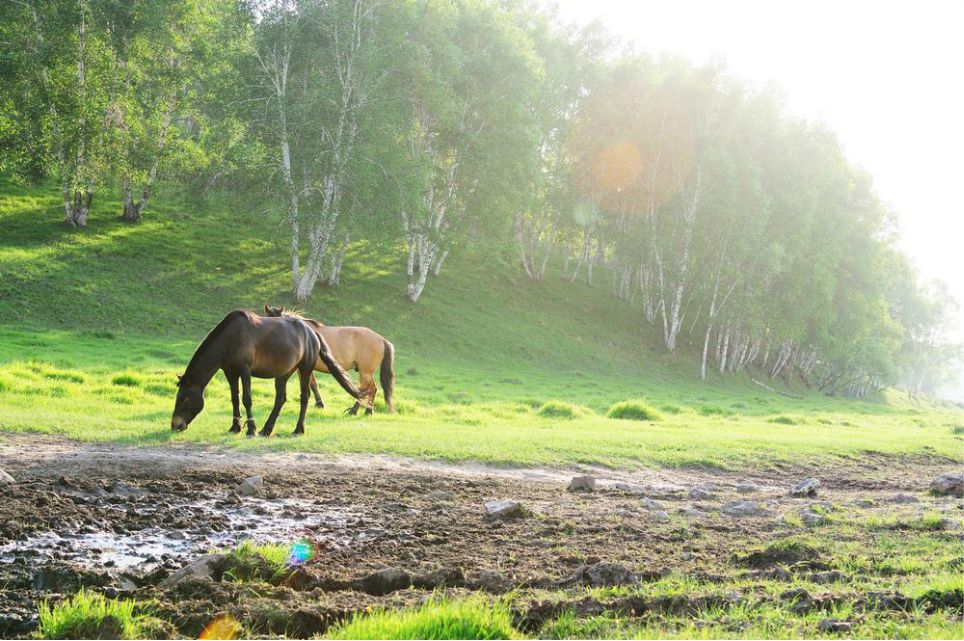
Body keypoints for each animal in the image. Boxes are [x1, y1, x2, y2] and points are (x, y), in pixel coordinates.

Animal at [169, 308, 366, 436]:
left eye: (184, 398)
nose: (175, 425)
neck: (230, 338)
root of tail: (312, 333)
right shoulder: (230, 372)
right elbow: (234, 399)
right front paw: (235, 427)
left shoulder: (245, 371)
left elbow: (246, 399)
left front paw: (251, 429)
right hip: (284, 373)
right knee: (280, 399)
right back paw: (267, 429)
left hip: (305, 369)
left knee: (304, 397)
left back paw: (298, 429)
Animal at [260, 304, 396, 416]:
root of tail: (381, 339)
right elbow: (314, 384)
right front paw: (319, 404)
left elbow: (312, 385)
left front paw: (320, 404)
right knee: (370, 390)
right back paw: (367, 410)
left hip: (365, 372)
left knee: (369, 389)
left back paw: (357, 411)